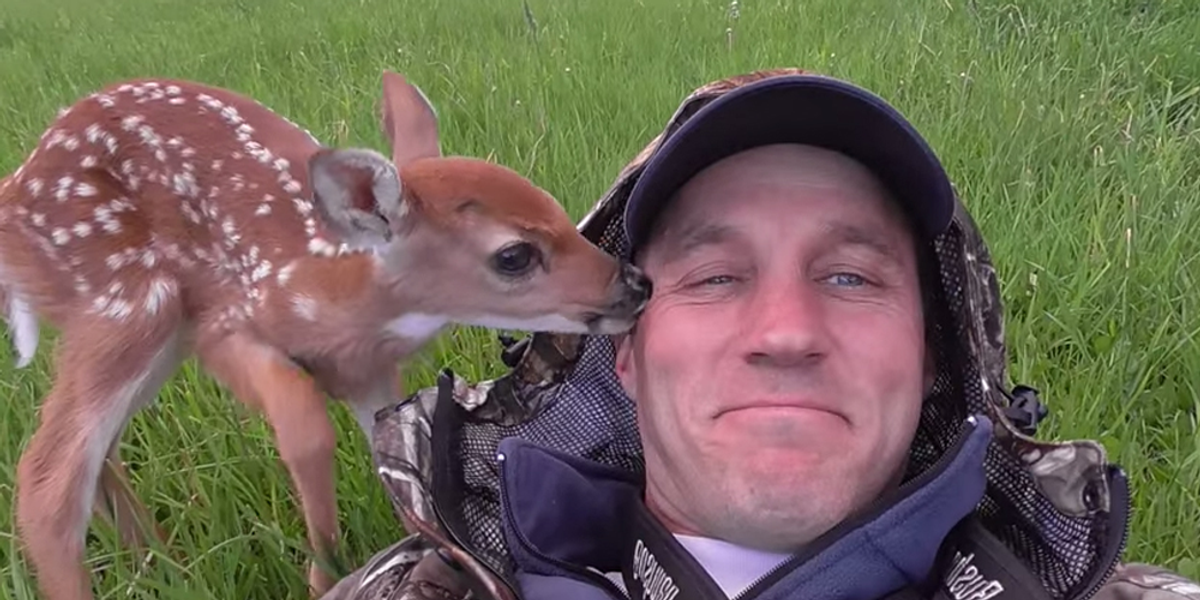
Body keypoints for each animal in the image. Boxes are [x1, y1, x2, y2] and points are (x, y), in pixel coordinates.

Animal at [0, 71, 651, 600]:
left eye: (558, 210)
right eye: (513, 255)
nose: (635, 283)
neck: (334, 295)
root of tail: (16, 188)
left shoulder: (368, 374)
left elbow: (391, 453)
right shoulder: (225, 323)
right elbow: (308, 429)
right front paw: (324, 573)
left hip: (150, 332)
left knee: (95, 451)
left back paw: (163, 563)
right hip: (127, 303)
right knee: (46, 478)